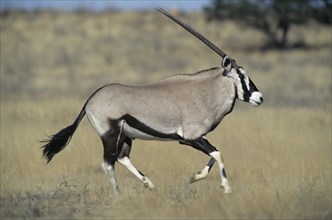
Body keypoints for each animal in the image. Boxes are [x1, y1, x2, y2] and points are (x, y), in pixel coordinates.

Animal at [42, 8, 264, 194]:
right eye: (241, 75)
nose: (259, 98)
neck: (206, 91)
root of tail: (91, 99)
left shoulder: (193, 138)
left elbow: (213, 154)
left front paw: (194, 177)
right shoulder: (192, 137)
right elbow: (218, 154)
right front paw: (225, 187)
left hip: (126, 137)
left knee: (122, 158)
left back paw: (149, 184)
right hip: (110, 135)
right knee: (108, 163)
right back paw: (118, 194)